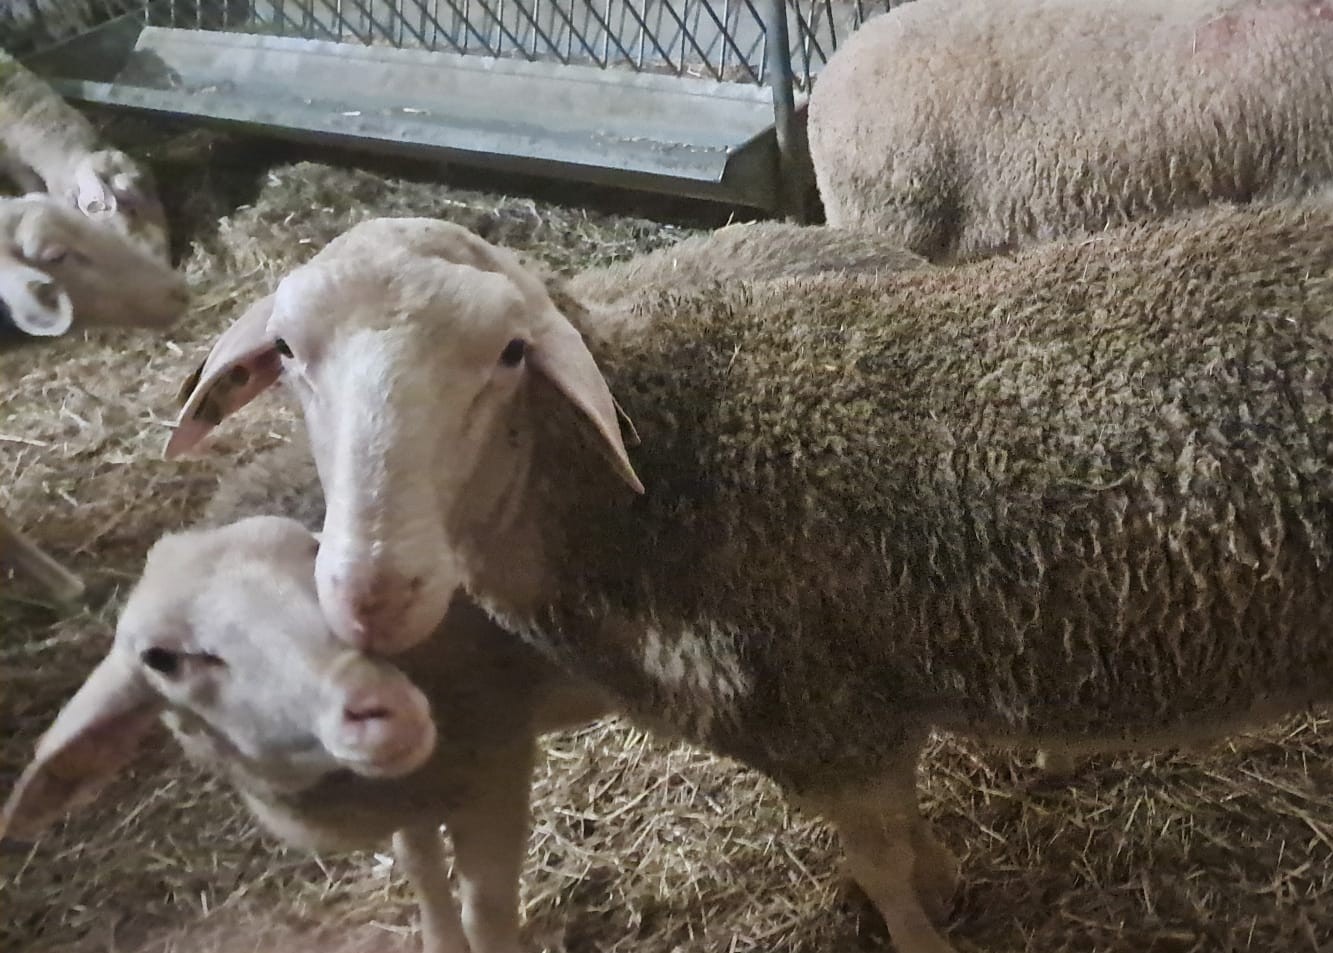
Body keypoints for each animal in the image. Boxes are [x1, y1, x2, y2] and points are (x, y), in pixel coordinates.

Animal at [0, 441, 614, 953]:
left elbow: (484, 912)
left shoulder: (494, 763)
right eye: (161, 658)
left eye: (311, 552)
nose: (381, 706)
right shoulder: (414, 790)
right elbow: (419, 867)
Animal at [159, 193, 1333, 953]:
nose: (372, 589)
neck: (655, 472)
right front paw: (949, 884)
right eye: (290, 355)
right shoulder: (861, 701)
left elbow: (880, 862)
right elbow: (903, 834)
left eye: (508, 354)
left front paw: (922, 924)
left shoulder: (814, 715)